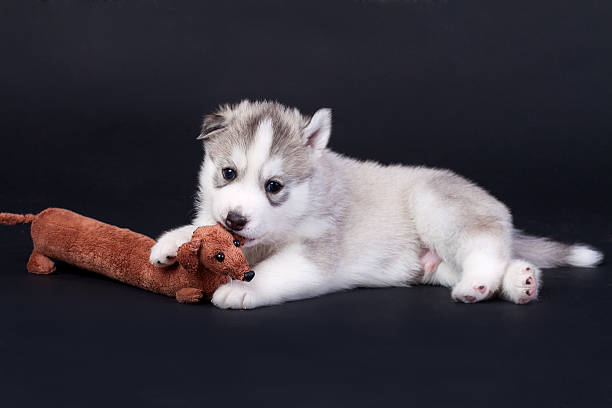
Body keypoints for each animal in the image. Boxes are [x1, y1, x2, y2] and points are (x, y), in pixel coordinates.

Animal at [149, 100, 604, 308]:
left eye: (274, 186)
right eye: (228, 173)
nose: (236, 219)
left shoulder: (315, 253)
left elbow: (273, 270)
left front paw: (242, 290)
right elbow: (200, 227)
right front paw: (171, 242)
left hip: (437, 203)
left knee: (485, 246)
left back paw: (479, 284)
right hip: (432, 265)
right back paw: (521, 281)